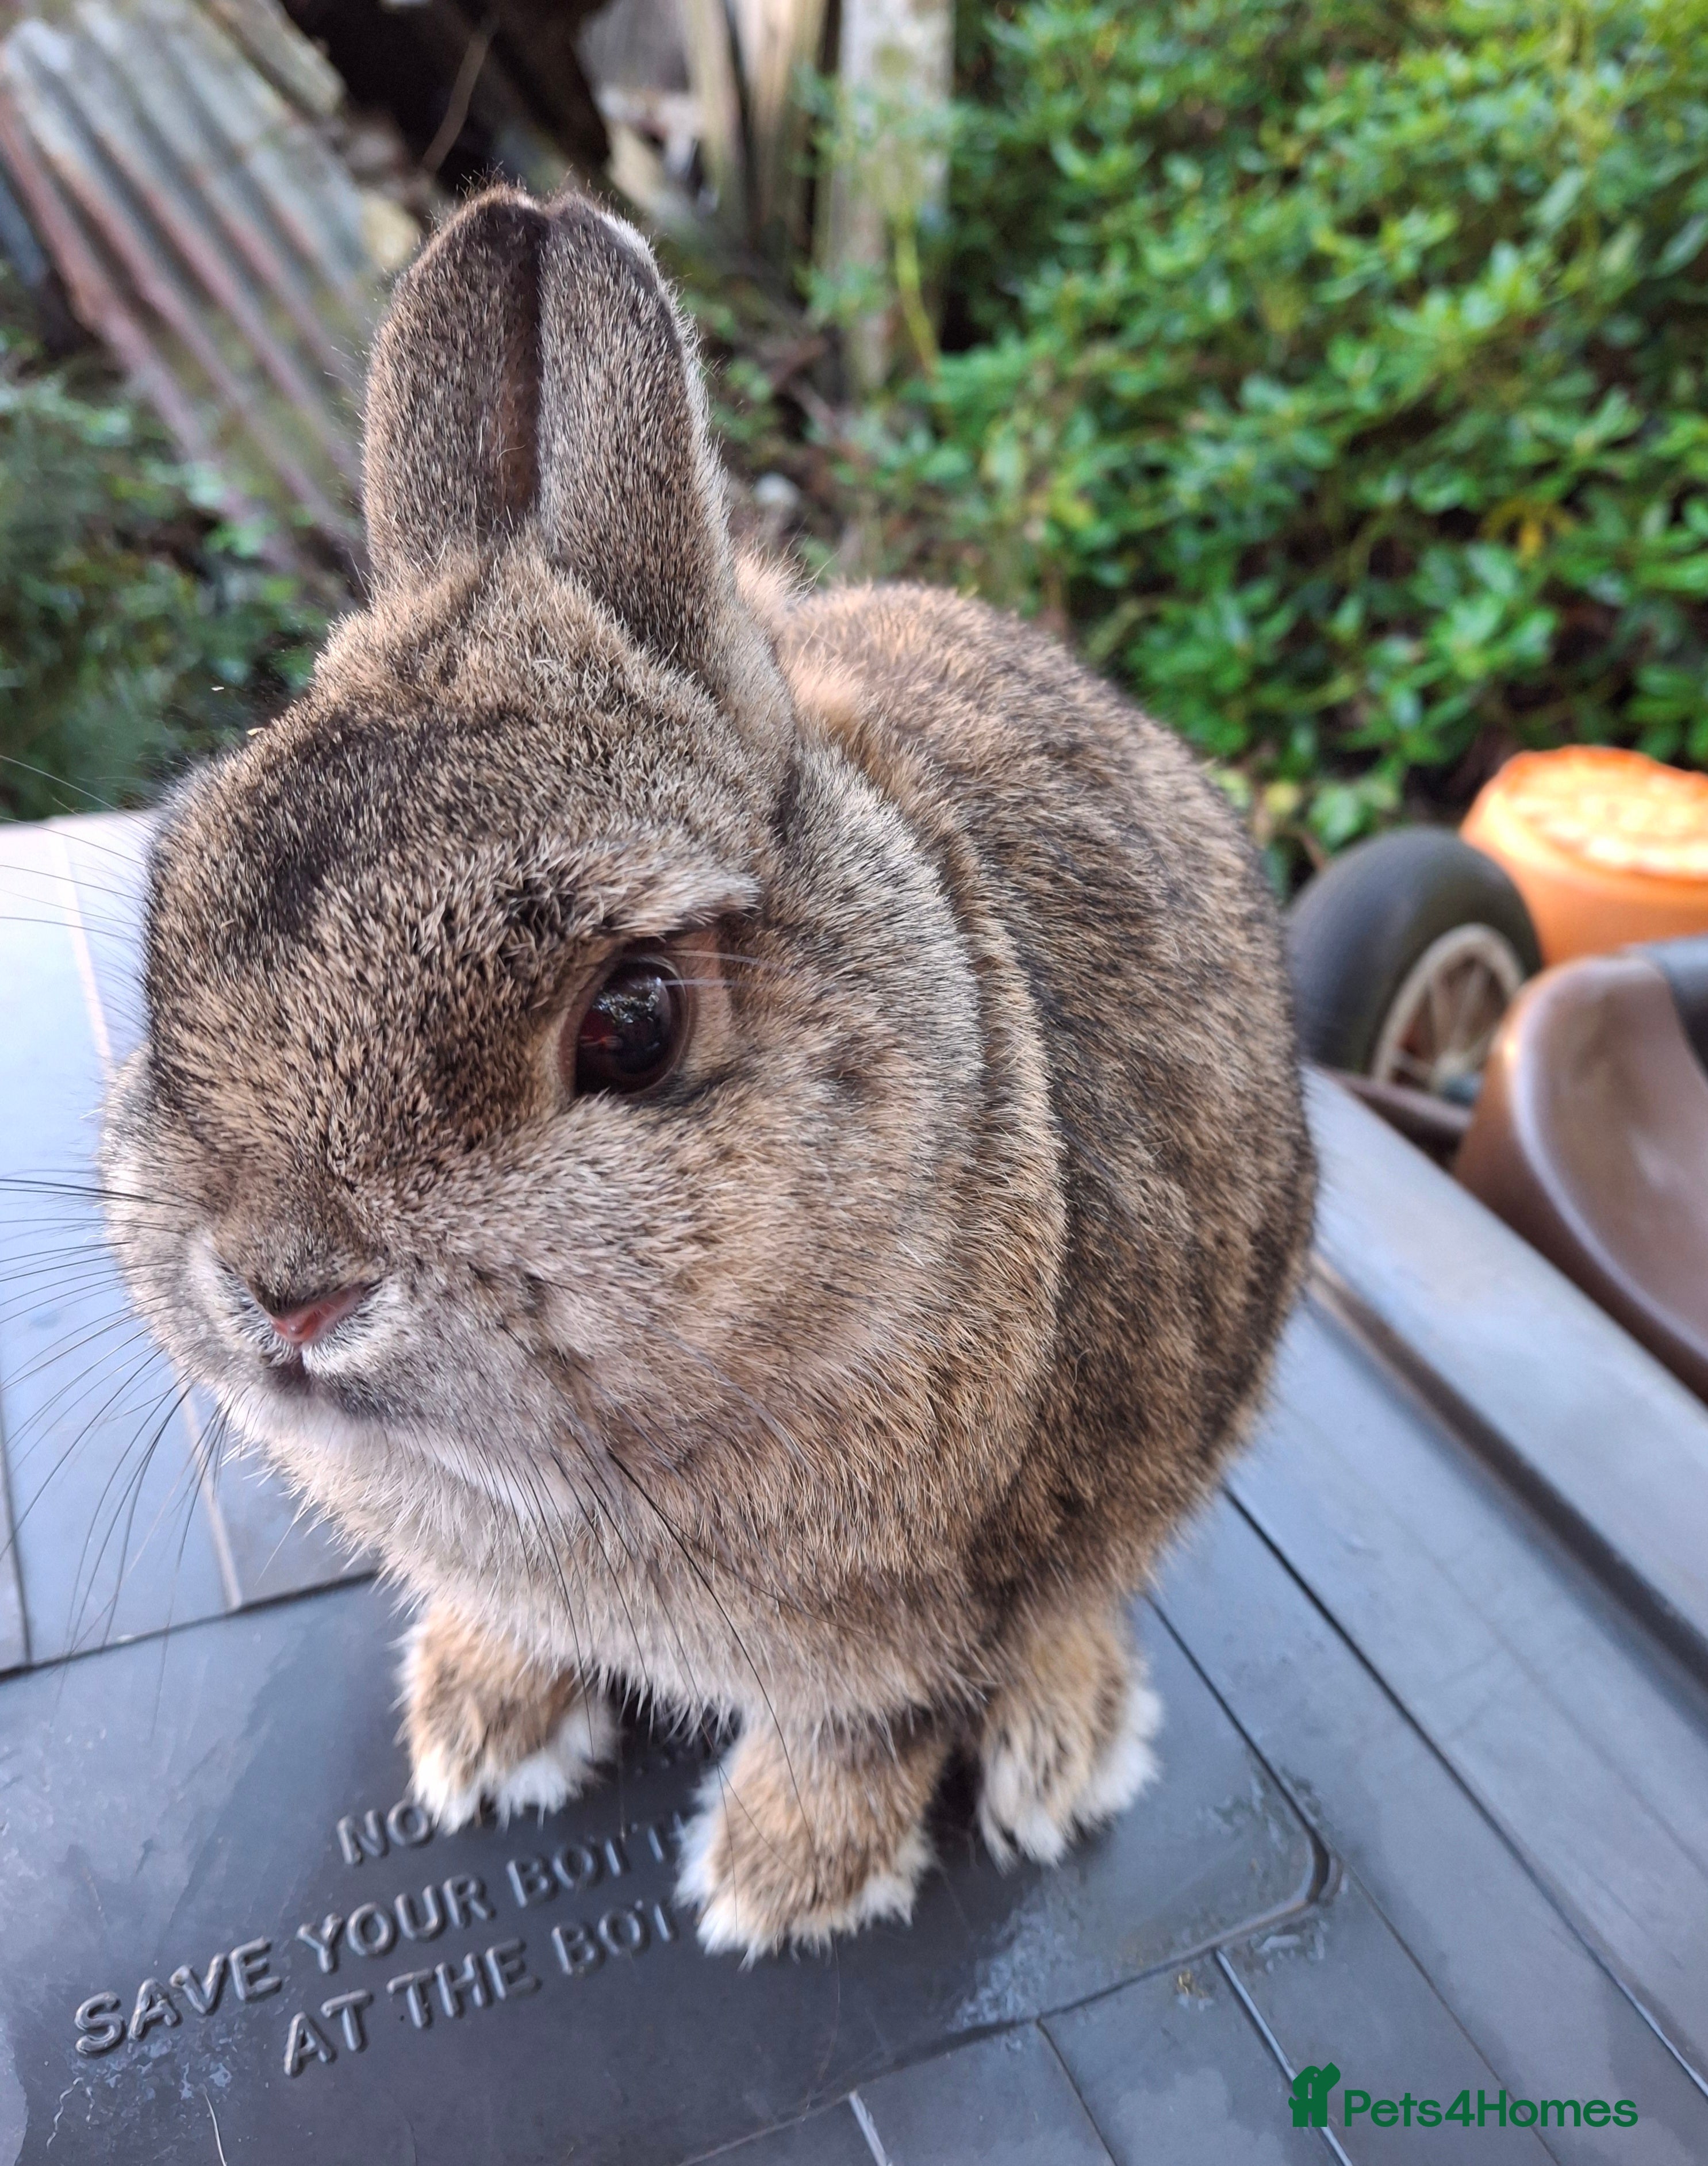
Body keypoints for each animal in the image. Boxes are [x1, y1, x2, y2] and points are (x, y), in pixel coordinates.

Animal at [101, 186, 1315, 1961]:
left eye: (632, 1021)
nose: (287, 1290)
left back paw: (1054, 1758)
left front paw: (780, 1888)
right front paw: (482, 1738)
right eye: (167, 926)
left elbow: (865, 1729)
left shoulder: (915, 1616)